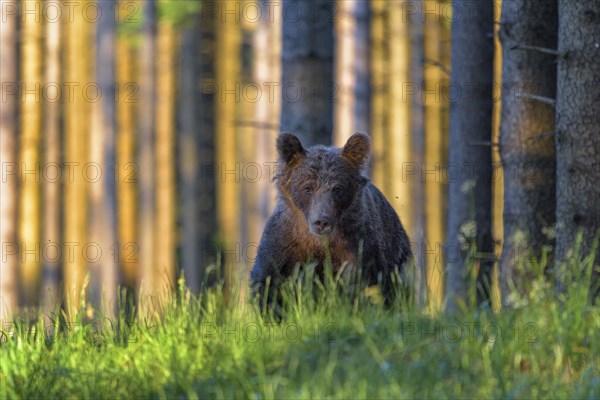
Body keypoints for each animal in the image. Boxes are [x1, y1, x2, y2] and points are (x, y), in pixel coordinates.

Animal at [250, 133, 412, 308]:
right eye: (307, 188)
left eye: (337, 189)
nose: (322, 221)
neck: (318, 241)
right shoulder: (284, 243)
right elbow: (268, 282)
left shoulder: (359, 246)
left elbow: (365, 284)